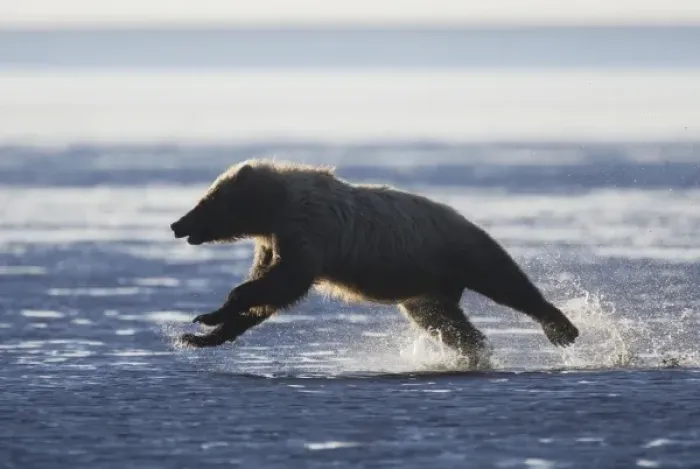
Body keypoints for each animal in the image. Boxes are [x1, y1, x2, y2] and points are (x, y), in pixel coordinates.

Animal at [170, 159, 579, 367]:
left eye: (206, 200)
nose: (178, 224)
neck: (274, 208)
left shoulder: (307, 229)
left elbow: (282, 282)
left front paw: (210, 314)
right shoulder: (274, 240)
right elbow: (268, 291)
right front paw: (200, 335)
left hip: (459, 248)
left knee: (506, 281)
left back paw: (562, 328)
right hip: (426, 287)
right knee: (444, 321)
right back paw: (474, 351)